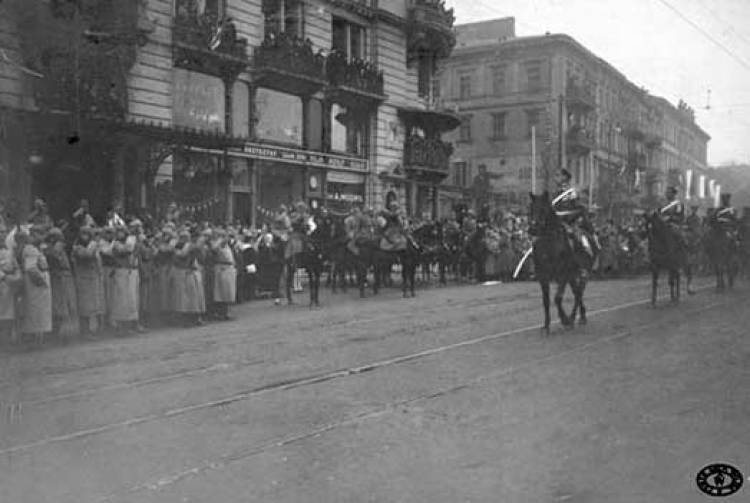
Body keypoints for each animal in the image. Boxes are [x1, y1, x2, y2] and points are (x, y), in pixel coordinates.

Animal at [532, 193, 596, 334]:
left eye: (543, 209)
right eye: (531, 208)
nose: (532, 228)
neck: (548, 243)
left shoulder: (563, 274)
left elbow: (557, 298)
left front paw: (565, 320)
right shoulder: (543, 276)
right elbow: (546, 300)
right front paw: (546, 326)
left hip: (584, 273)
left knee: (579, 294)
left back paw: (573, 318)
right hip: (572, 276)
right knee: (577, 293)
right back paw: (580, 315)